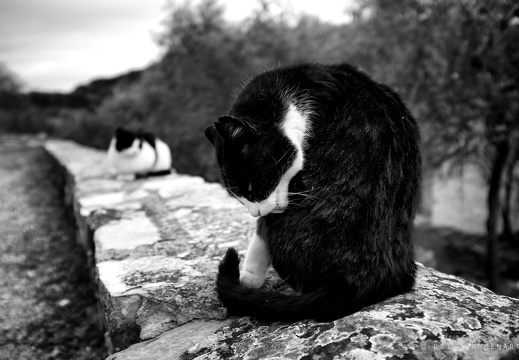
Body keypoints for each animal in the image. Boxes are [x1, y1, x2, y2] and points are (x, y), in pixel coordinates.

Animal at [204, 62, 422, 324]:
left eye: (252, 186)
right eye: (238, 198)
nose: (254, 212)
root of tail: (350, 285)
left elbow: (261, 230)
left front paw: (249, 276)